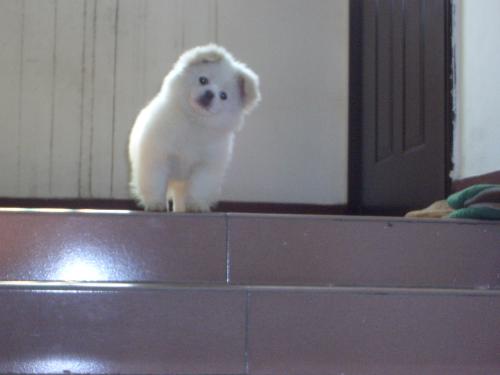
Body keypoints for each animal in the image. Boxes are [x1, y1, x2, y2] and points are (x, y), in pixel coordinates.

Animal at [128, 44, 262, 212]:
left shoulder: (205, 167)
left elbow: (199, 188)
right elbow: (156, 183)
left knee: (180, 199)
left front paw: (196, 206)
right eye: (203, 80)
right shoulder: (158, 157)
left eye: (223, 96)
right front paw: (156, 204)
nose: (210, 94)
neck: (194, 122)